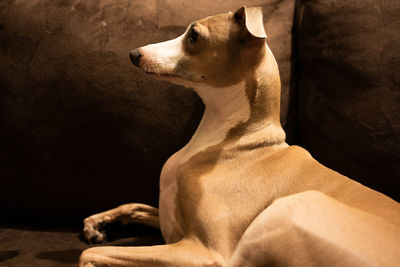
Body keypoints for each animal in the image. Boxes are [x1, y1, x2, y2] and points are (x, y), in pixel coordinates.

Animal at [79, 6, 400, 267]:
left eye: (193, 35)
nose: (133, 54)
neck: (234, 139)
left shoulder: (204, 251)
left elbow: (90, 254)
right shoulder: (173, 223)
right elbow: (133, 206)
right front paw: (97, 223)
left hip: (284, 210)